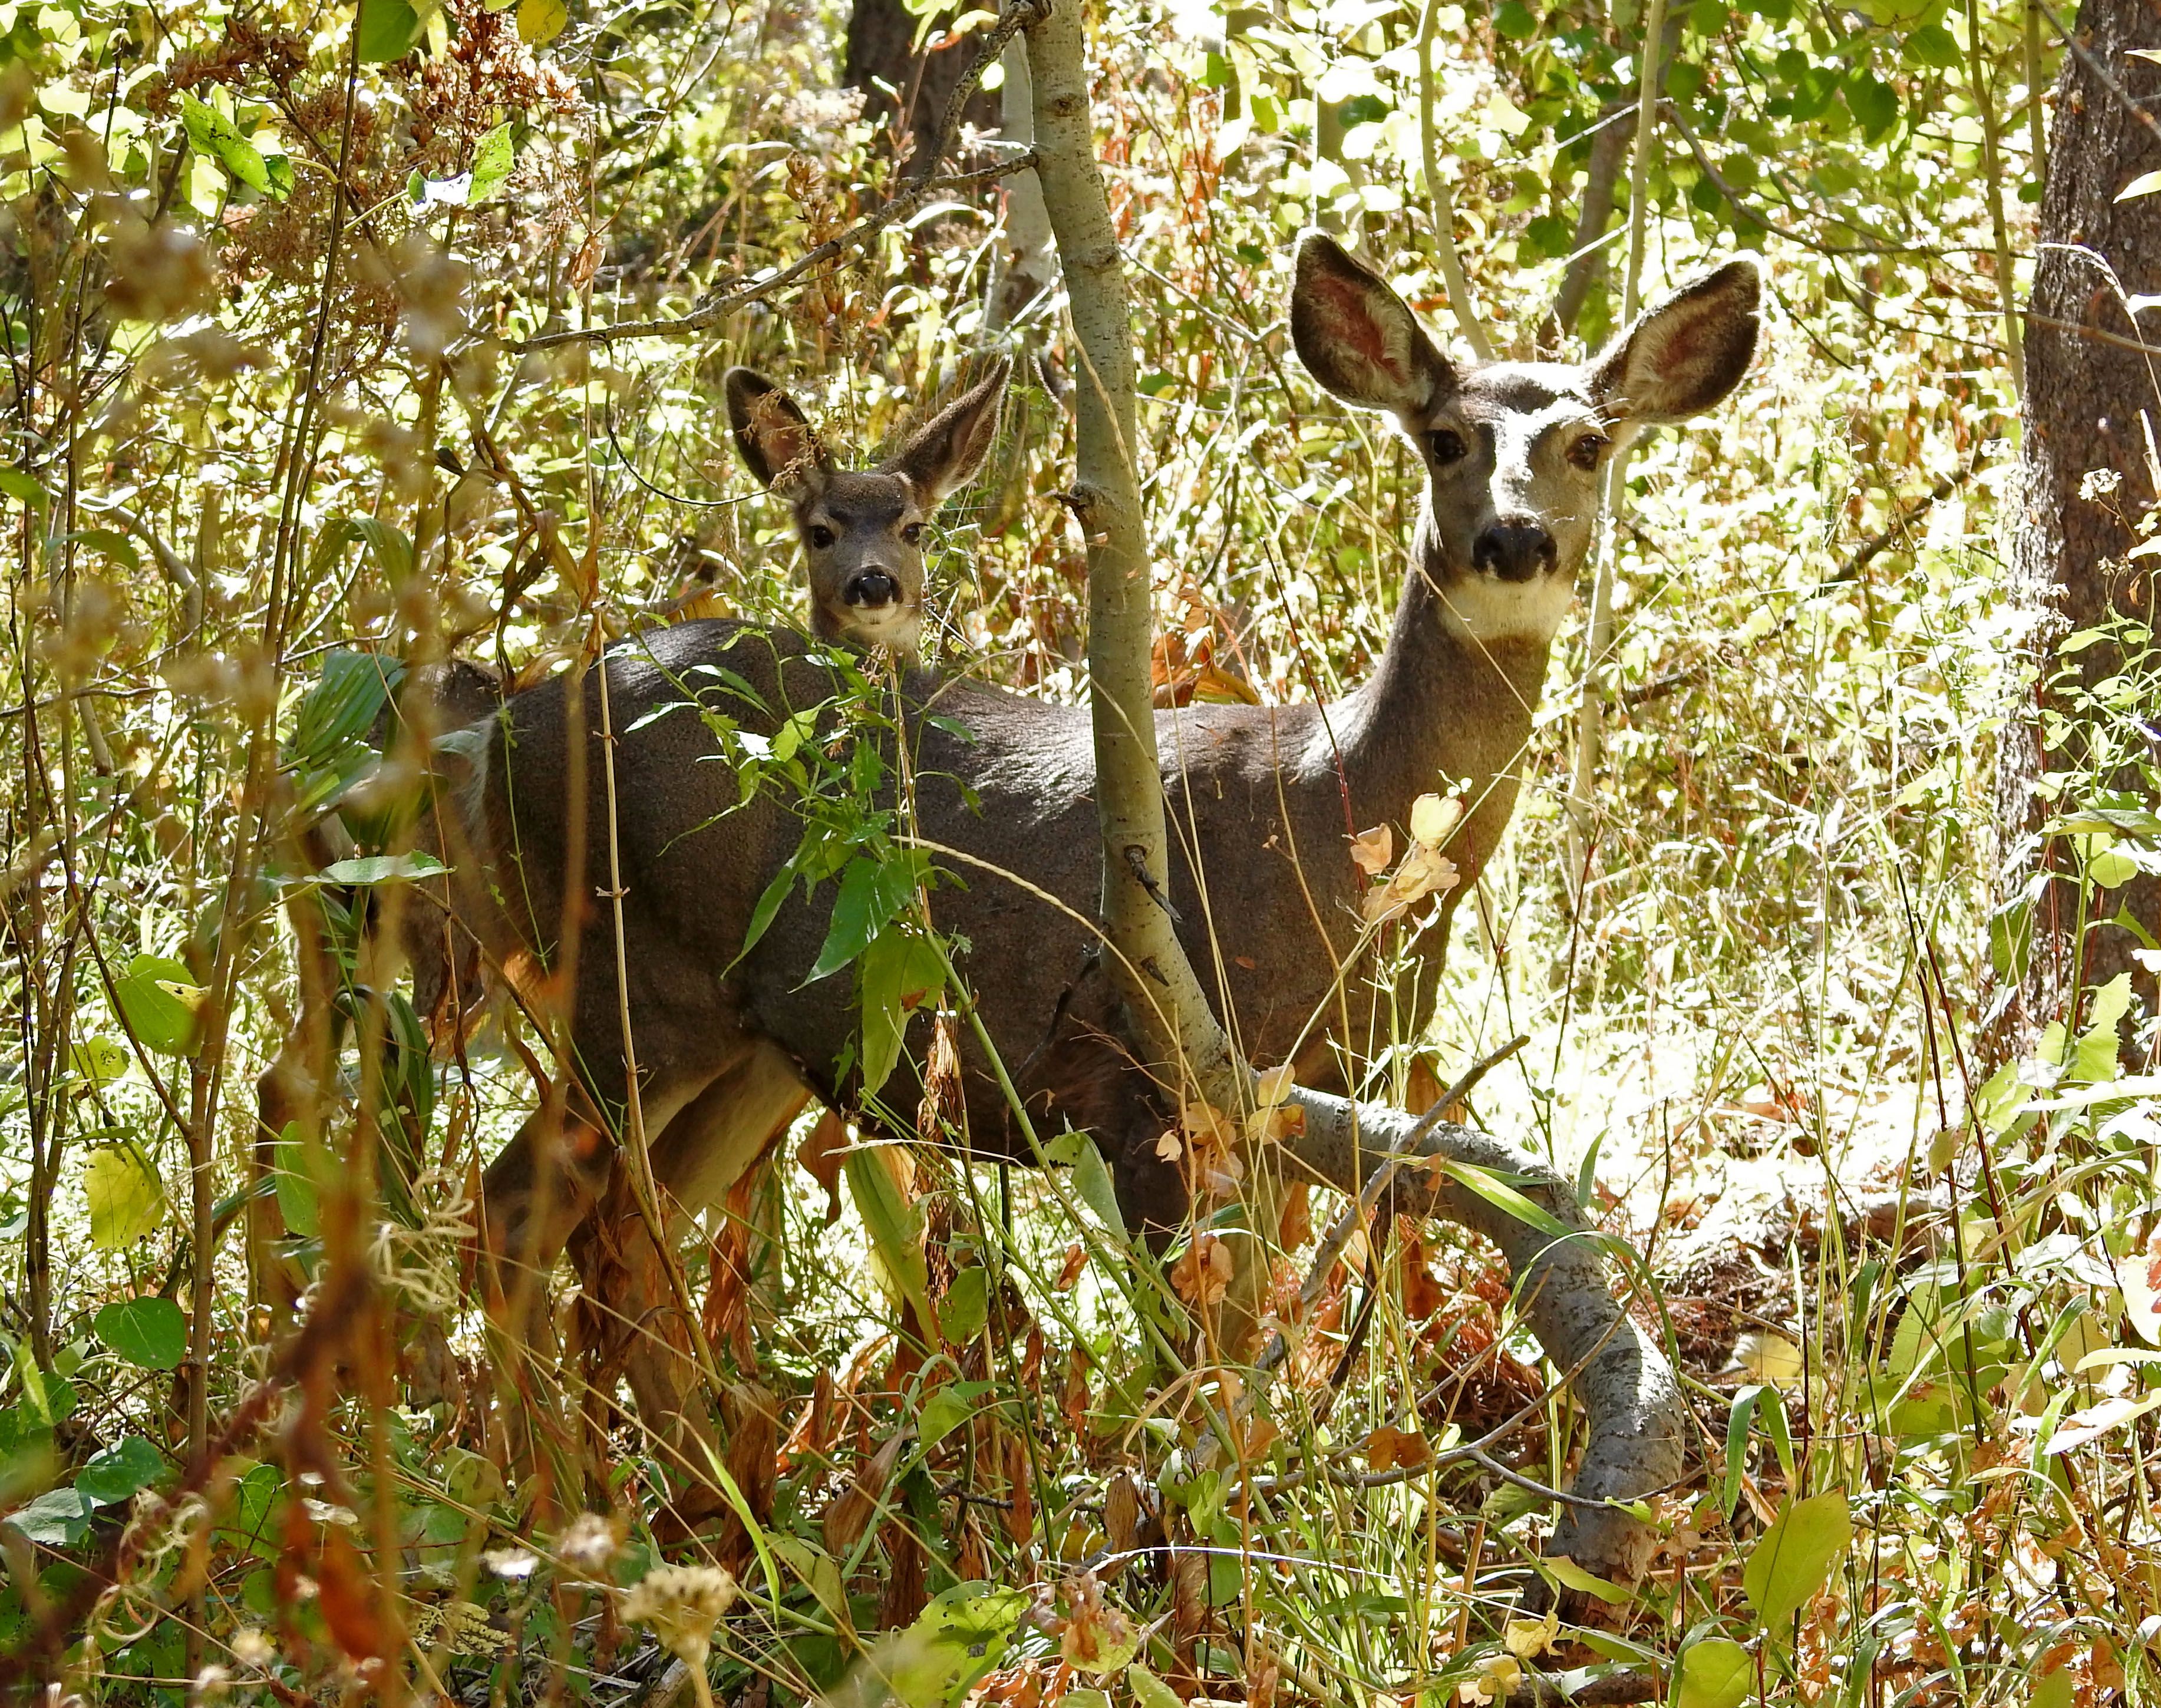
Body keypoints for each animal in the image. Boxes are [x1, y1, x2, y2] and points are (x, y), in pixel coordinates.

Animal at [274, 235, 1759, 1520]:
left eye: (1587, 441)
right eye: (1442, 437)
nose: (1512, 543)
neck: (1323, 822)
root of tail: (507, 719)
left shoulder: (1296, 1106)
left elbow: (1248, 1350)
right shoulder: (1144, 1083)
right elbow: (1191, 1375)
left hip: (758, 1041)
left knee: (617, 1243)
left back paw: (711, 1517)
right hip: (630, 975)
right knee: (516, 1214)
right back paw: (563, 1514)